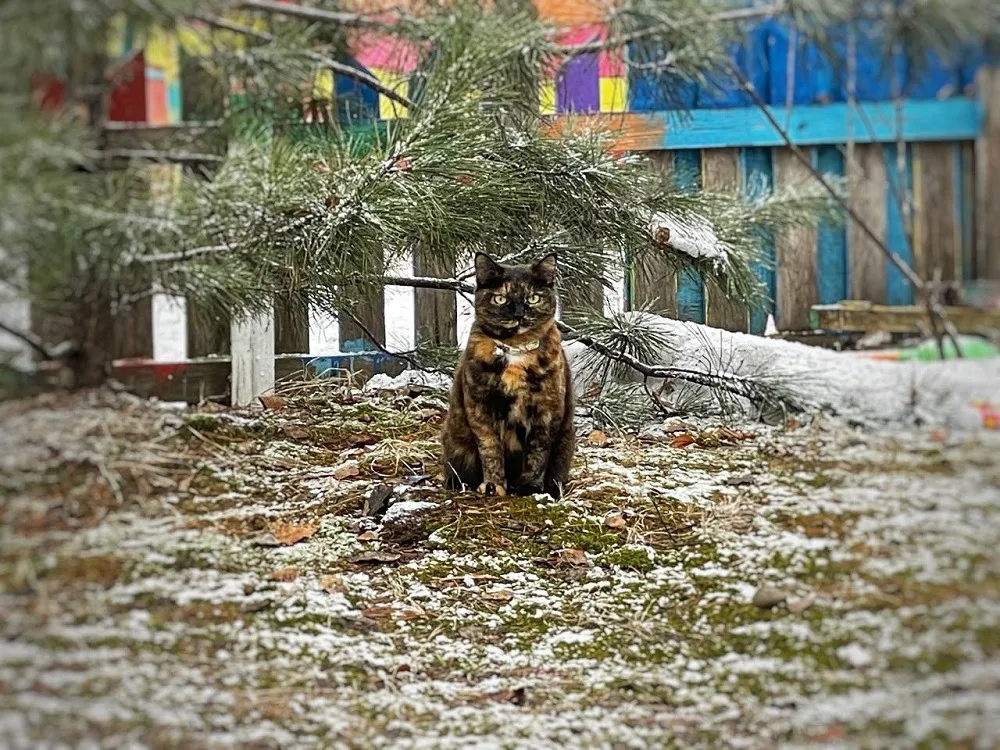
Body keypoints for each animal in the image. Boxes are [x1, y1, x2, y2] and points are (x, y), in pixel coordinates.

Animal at [442, 254, 576, 500]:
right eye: (500, 298)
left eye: (533, 298)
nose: (519, 315)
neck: (515, 349)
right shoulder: (480, 408)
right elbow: (490, 449)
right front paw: (493, 485)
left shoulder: (546, 411)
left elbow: (537, 453)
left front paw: (529, 486)